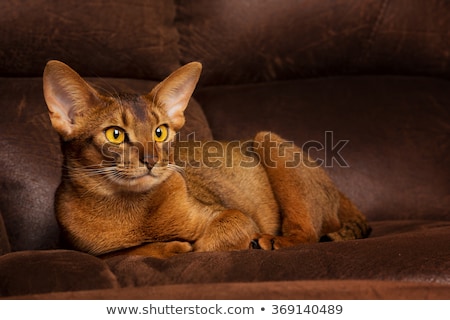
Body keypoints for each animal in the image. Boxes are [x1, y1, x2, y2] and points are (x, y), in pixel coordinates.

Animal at [44, 60, 370, 260]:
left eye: (160, 132)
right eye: (115, 134)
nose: (151, 160)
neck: (127, 209)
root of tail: (340, 193)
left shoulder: (233, 216)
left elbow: (208, 245)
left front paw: (192, 246)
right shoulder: (88, 250)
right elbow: (128, 252)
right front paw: (171, 247)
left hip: (268, 140)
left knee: (309, 233)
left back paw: (274, 240)